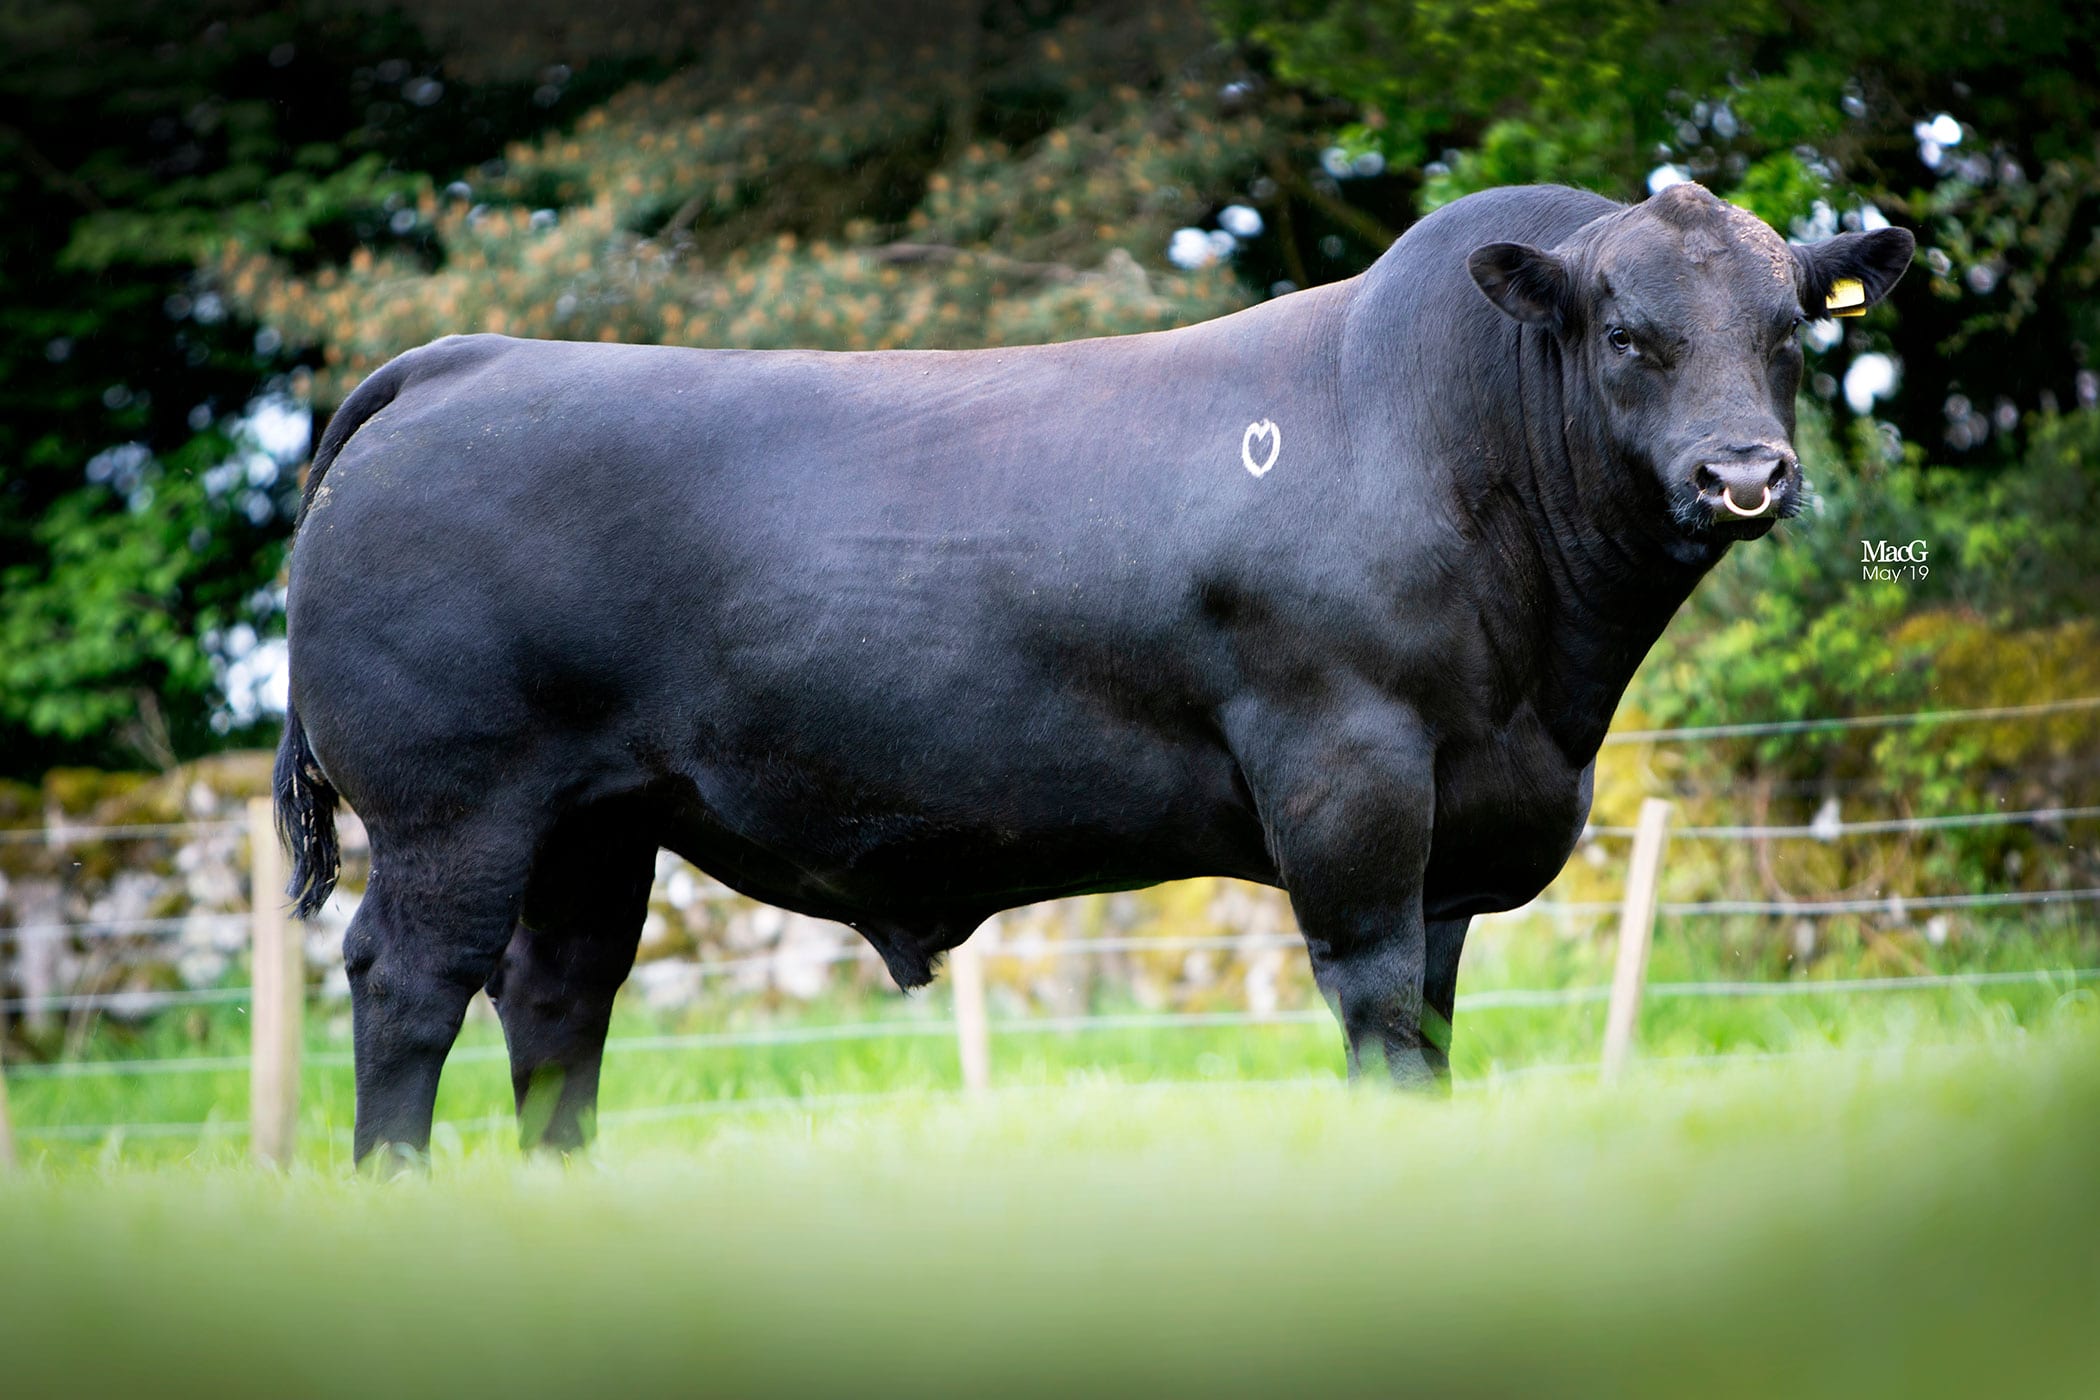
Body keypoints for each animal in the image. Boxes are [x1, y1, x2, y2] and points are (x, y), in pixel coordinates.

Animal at [283, 183, 1923, 1158]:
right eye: (1627, 334)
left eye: (1789, 329)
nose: (1744, 473)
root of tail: (464, 359)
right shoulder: (1348, 767)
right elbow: (1376, 993)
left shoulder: (1462, 811)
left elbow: (1434, 1008)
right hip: (454, 805)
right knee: (412, 981)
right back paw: (398, 1185)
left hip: (593, 820)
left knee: (560, 998)